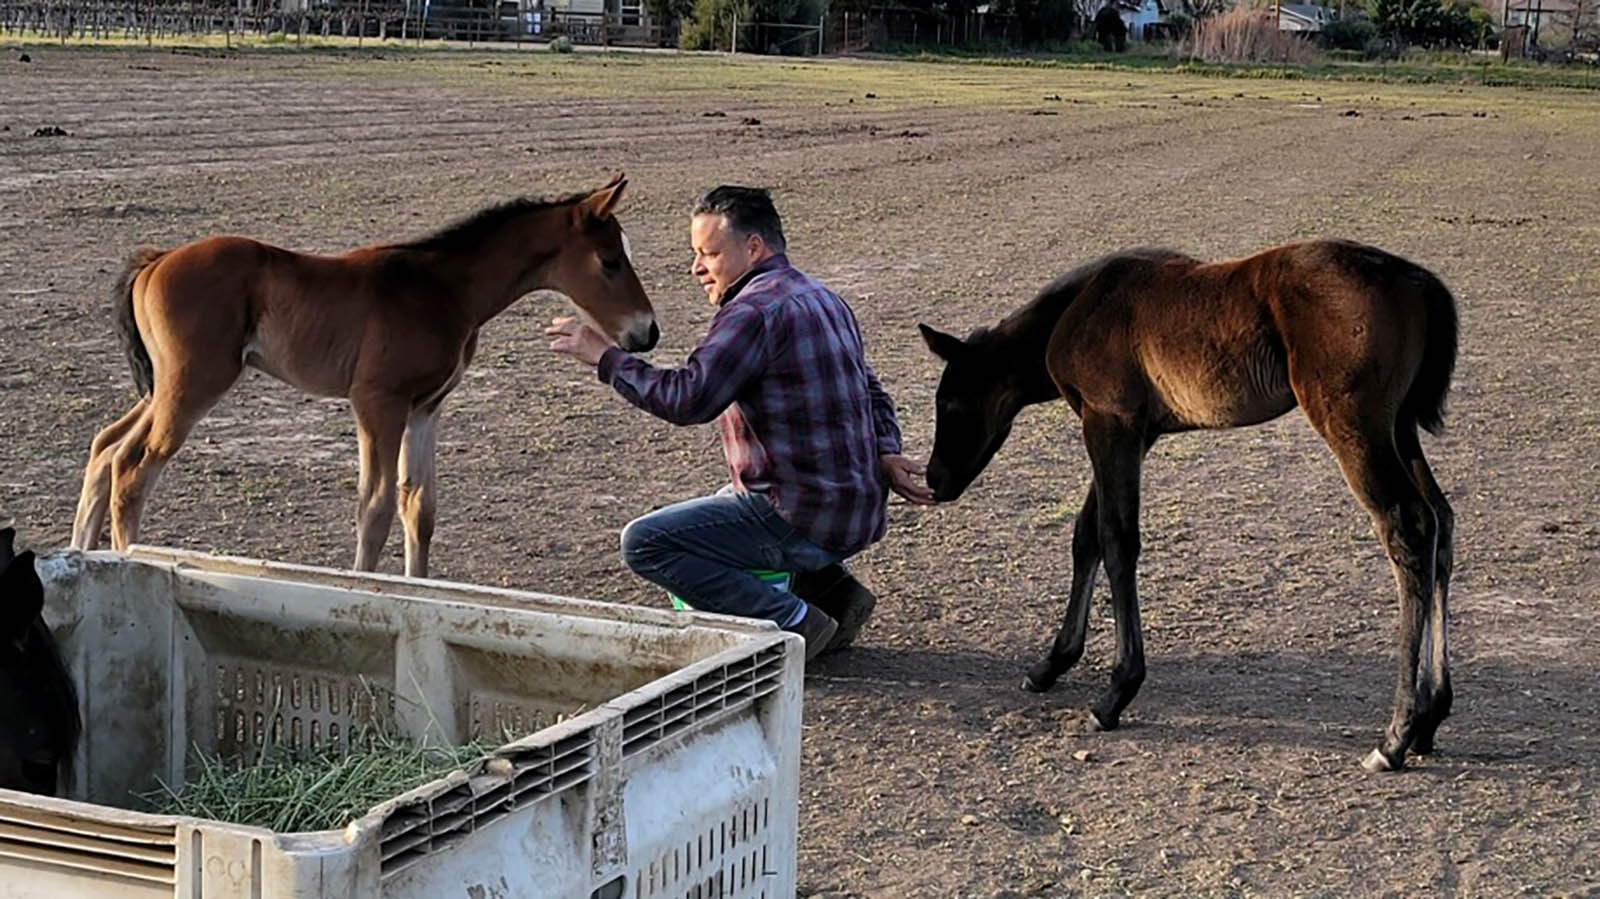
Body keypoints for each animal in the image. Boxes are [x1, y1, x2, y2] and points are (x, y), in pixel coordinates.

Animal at [72, 171, 659, 575]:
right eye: (610, 260)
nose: (647, 332)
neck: (443, 289)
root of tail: (157, 258)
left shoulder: (425, 408)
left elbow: (419, 507)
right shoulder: (378, 401)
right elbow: (374, 509)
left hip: (164, 386)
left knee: (105, 446)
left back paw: (79, 553)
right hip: (193, 383)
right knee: (132, 467)